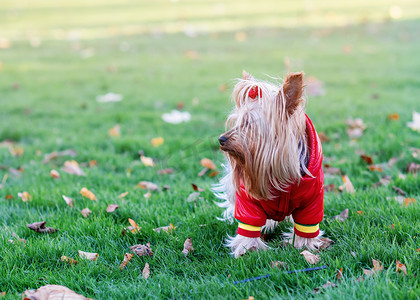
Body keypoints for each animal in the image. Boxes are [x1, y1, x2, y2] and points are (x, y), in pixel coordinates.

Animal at [213, 71, 324, 258]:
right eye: (236, 122)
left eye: (248, 123)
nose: (221, 139)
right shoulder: (248, 199)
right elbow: (249, 224)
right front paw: (248, 249)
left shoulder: (312, 200)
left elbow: (307, 224)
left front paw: (303, 245)